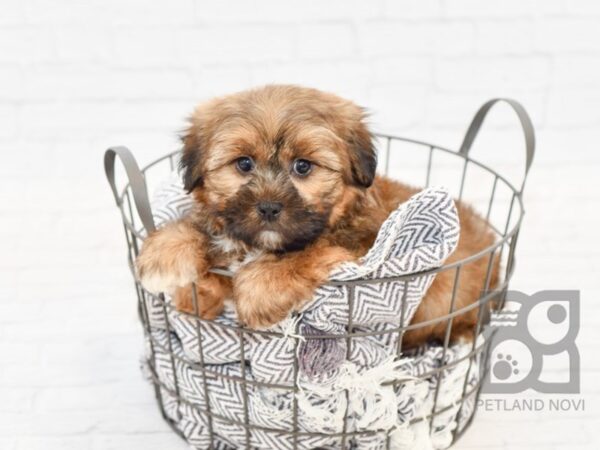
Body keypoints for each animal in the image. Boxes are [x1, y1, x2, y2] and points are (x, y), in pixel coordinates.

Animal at [137, 84, 496, 348]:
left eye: (303, 166)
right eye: (243, 163)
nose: (269, 207)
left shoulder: (362, 253)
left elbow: (306, 253)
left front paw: (259, 288)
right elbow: (206, 234)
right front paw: (167, 256)